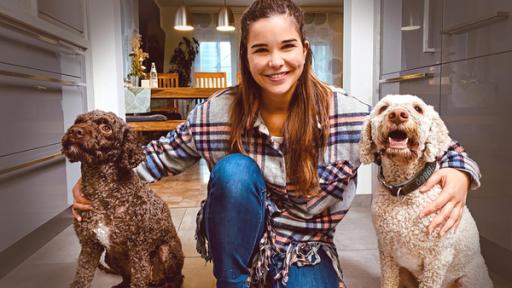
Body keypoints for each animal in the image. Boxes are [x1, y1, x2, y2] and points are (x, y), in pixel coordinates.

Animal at [62, 111, 184, 288]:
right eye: (78, 121)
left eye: (106, 128)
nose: (75, 131)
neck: (101, 190)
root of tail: (155, 281)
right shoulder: (89, 245)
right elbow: (81, 278)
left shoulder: (138, 250)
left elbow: (138, 281)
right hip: (111, 256)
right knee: (127, 277)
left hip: (165, 252)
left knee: (176, 278)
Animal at [358, 95, 494, 286]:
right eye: (383, 108)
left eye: (418, 108)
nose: (397, 114)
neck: (403, 193)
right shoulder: (387, 253)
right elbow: (388, 281)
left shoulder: (437, 259)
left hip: (469, 279)